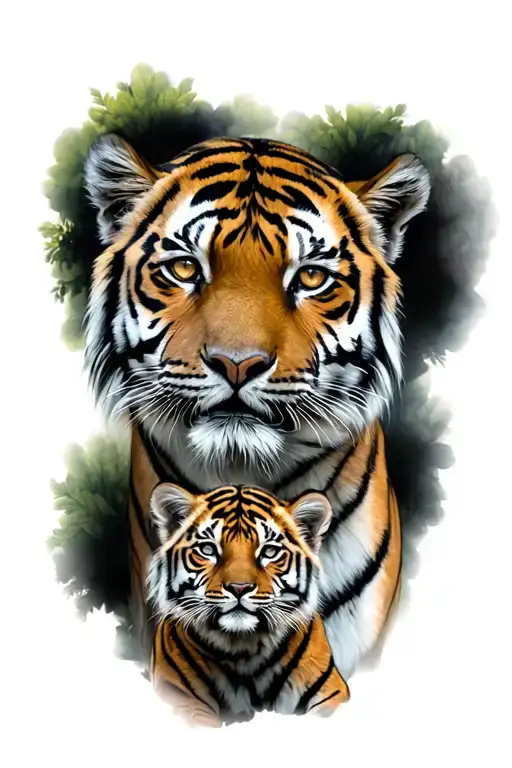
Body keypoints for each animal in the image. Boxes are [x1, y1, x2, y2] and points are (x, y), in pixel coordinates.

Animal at [146, 482, 349, 726]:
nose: (239, 588)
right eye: (208, 549)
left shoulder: (331, 694)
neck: (243, 650)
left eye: (269, 551)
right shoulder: (180, 698)